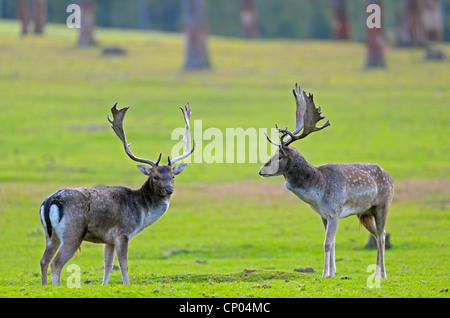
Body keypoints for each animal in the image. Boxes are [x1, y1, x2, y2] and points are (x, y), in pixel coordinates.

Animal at [38, 102, 193, 286]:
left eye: (173, 176)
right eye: (155, 176)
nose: (169, 189)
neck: (141, 212)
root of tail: (51, 201)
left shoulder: (109, 239)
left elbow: (108, 265)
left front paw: (104, 285)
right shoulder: (123, 232)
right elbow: (123, 264)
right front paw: (127, 284)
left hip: (50, 235)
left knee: (43, 260)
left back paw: (45, 286)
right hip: (73, 232)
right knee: (56, 263)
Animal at [260, 84, 394, 278]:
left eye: (279, 156)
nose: (261, 170)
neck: (318, 190)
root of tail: (391, 178)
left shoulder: (334, 210)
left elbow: (327, 243)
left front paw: (324, 274)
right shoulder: (323, 215)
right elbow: (332, 242)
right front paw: (332, 272)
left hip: (383, 205)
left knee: (382, 235)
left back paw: (382, 274)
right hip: (364, 213)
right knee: (378, 235)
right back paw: (376, 273)